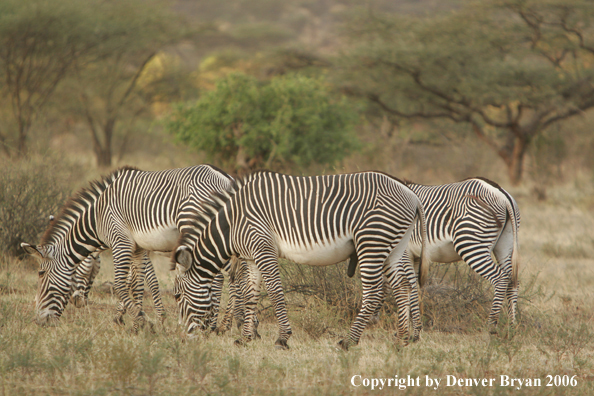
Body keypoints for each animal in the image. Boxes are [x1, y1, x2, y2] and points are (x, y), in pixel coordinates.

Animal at [21, 165, 234, 332]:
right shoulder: (139, 247)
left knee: (222, 276)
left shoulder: (121, 242)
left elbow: (124, 283)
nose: (39, 322)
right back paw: (219, 324)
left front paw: (145, 320)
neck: (98, 218)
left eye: (41, 273)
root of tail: (226, 178)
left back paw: (215, 324)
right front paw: (137, 322)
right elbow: (137, 283)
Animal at [170, 170, 426, 350]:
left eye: (177, 296)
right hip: (394, 247)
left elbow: (275, 292)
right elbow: (250, 295)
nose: (182, 338)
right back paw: (401, 340)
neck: (232, 223)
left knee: (374, 292)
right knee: (403, 286)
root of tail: (413, 196)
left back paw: (349, 341)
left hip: (372, 242)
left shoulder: (264, 249)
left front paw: (282, 338)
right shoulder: (251, 257)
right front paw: (245, 338)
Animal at [350, 176, 520, 332]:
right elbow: (404, 286)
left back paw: (491, 327)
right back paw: (511, 328)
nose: (372, 322)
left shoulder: (404, 254)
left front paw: (415, 329)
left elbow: (406, 285)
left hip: (471, 244)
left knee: (500, 278)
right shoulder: (414, 256)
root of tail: (501, 193)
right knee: (513, 282)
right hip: (505, 245)